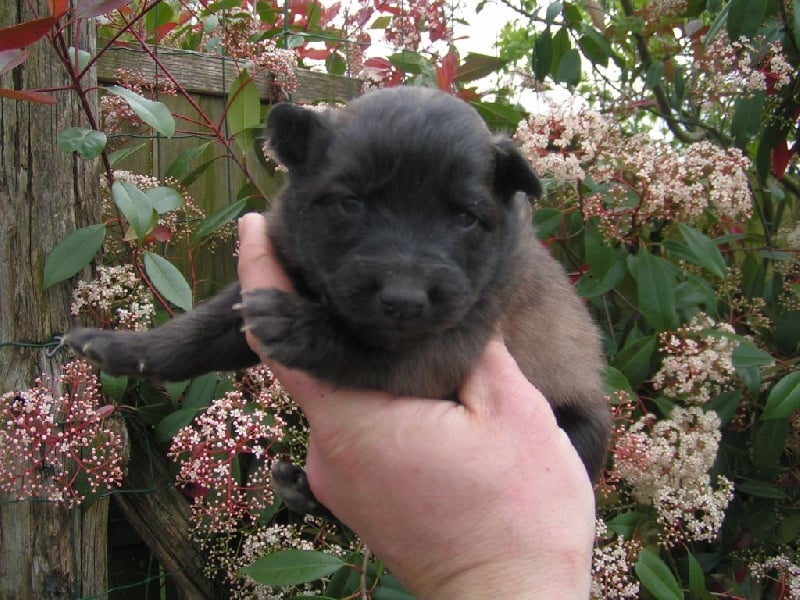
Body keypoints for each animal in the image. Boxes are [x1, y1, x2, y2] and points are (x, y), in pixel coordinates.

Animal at [64, 86, 612, 512]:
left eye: (465, 219)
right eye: (352, 203)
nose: (404, 300)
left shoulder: (434, 354)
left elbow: (358, 349)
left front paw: (302, 328)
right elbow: (196, 333)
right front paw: (123, 347)